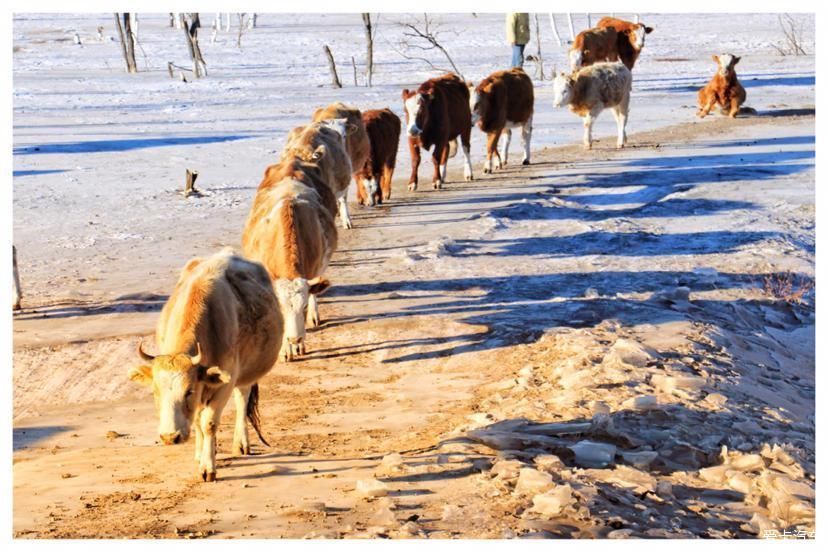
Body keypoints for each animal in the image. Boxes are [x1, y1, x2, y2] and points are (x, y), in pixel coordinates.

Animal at [129, 250, 284, 484]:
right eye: (155, 392)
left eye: (189, 391)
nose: (170, 437)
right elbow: (197, 421)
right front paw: (200, 455)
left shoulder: (224, 382)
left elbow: (209, 423)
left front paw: (208, 467)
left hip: (244, 375)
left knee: (242, 399)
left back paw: (241, 444)